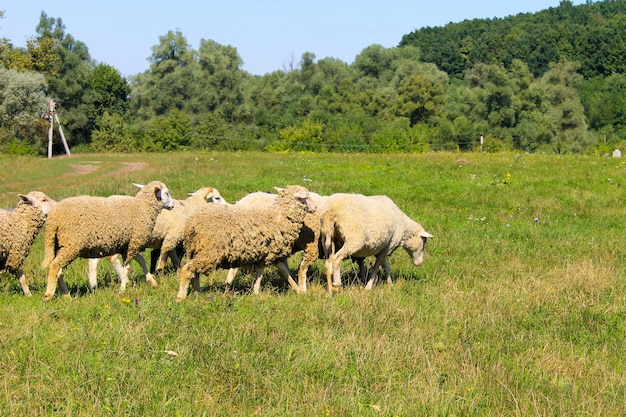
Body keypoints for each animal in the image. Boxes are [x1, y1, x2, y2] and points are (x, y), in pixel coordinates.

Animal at [41, 180, 173, 300]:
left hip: (60, 246)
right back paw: (48, 295)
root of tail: (53, 219)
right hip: (71, 245)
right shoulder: (134, 243)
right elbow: (127, 268)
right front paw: (122, 289)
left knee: (59, 271)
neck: (142, 207)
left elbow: (141, 260)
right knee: (55, 266)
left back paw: (66, 295)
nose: (173, 205)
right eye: (166, 193)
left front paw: (152, 281)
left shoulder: (128, 245)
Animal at [85, 185, 227, 286]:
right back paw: (125, 279)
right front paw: (161, 273)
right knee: (113, 258)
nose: (228, 206)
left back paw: (93, 284)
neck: (189, 208)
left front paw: (177, 272)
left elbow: (174, 259)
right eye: (217, 198)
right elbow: (164, 259)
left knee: (93, 260)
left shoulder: (171, 238)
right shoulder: (172, 237)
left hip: (102, 238)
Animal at [174, 184, 314, 300]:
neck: (279, 216)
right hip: (209, 251)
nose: (315, 208)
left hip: (195, 250)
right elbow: (285, 272)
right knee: (187, 270)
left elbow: (260, 274)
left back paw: (198, 292)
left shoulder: (263, 253)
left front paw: (256, 292)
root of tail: (192, 223)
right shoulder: (274, 253)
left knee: (194, 273)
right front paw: (299, 290)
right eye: (306, 197)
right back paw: (181, 296)